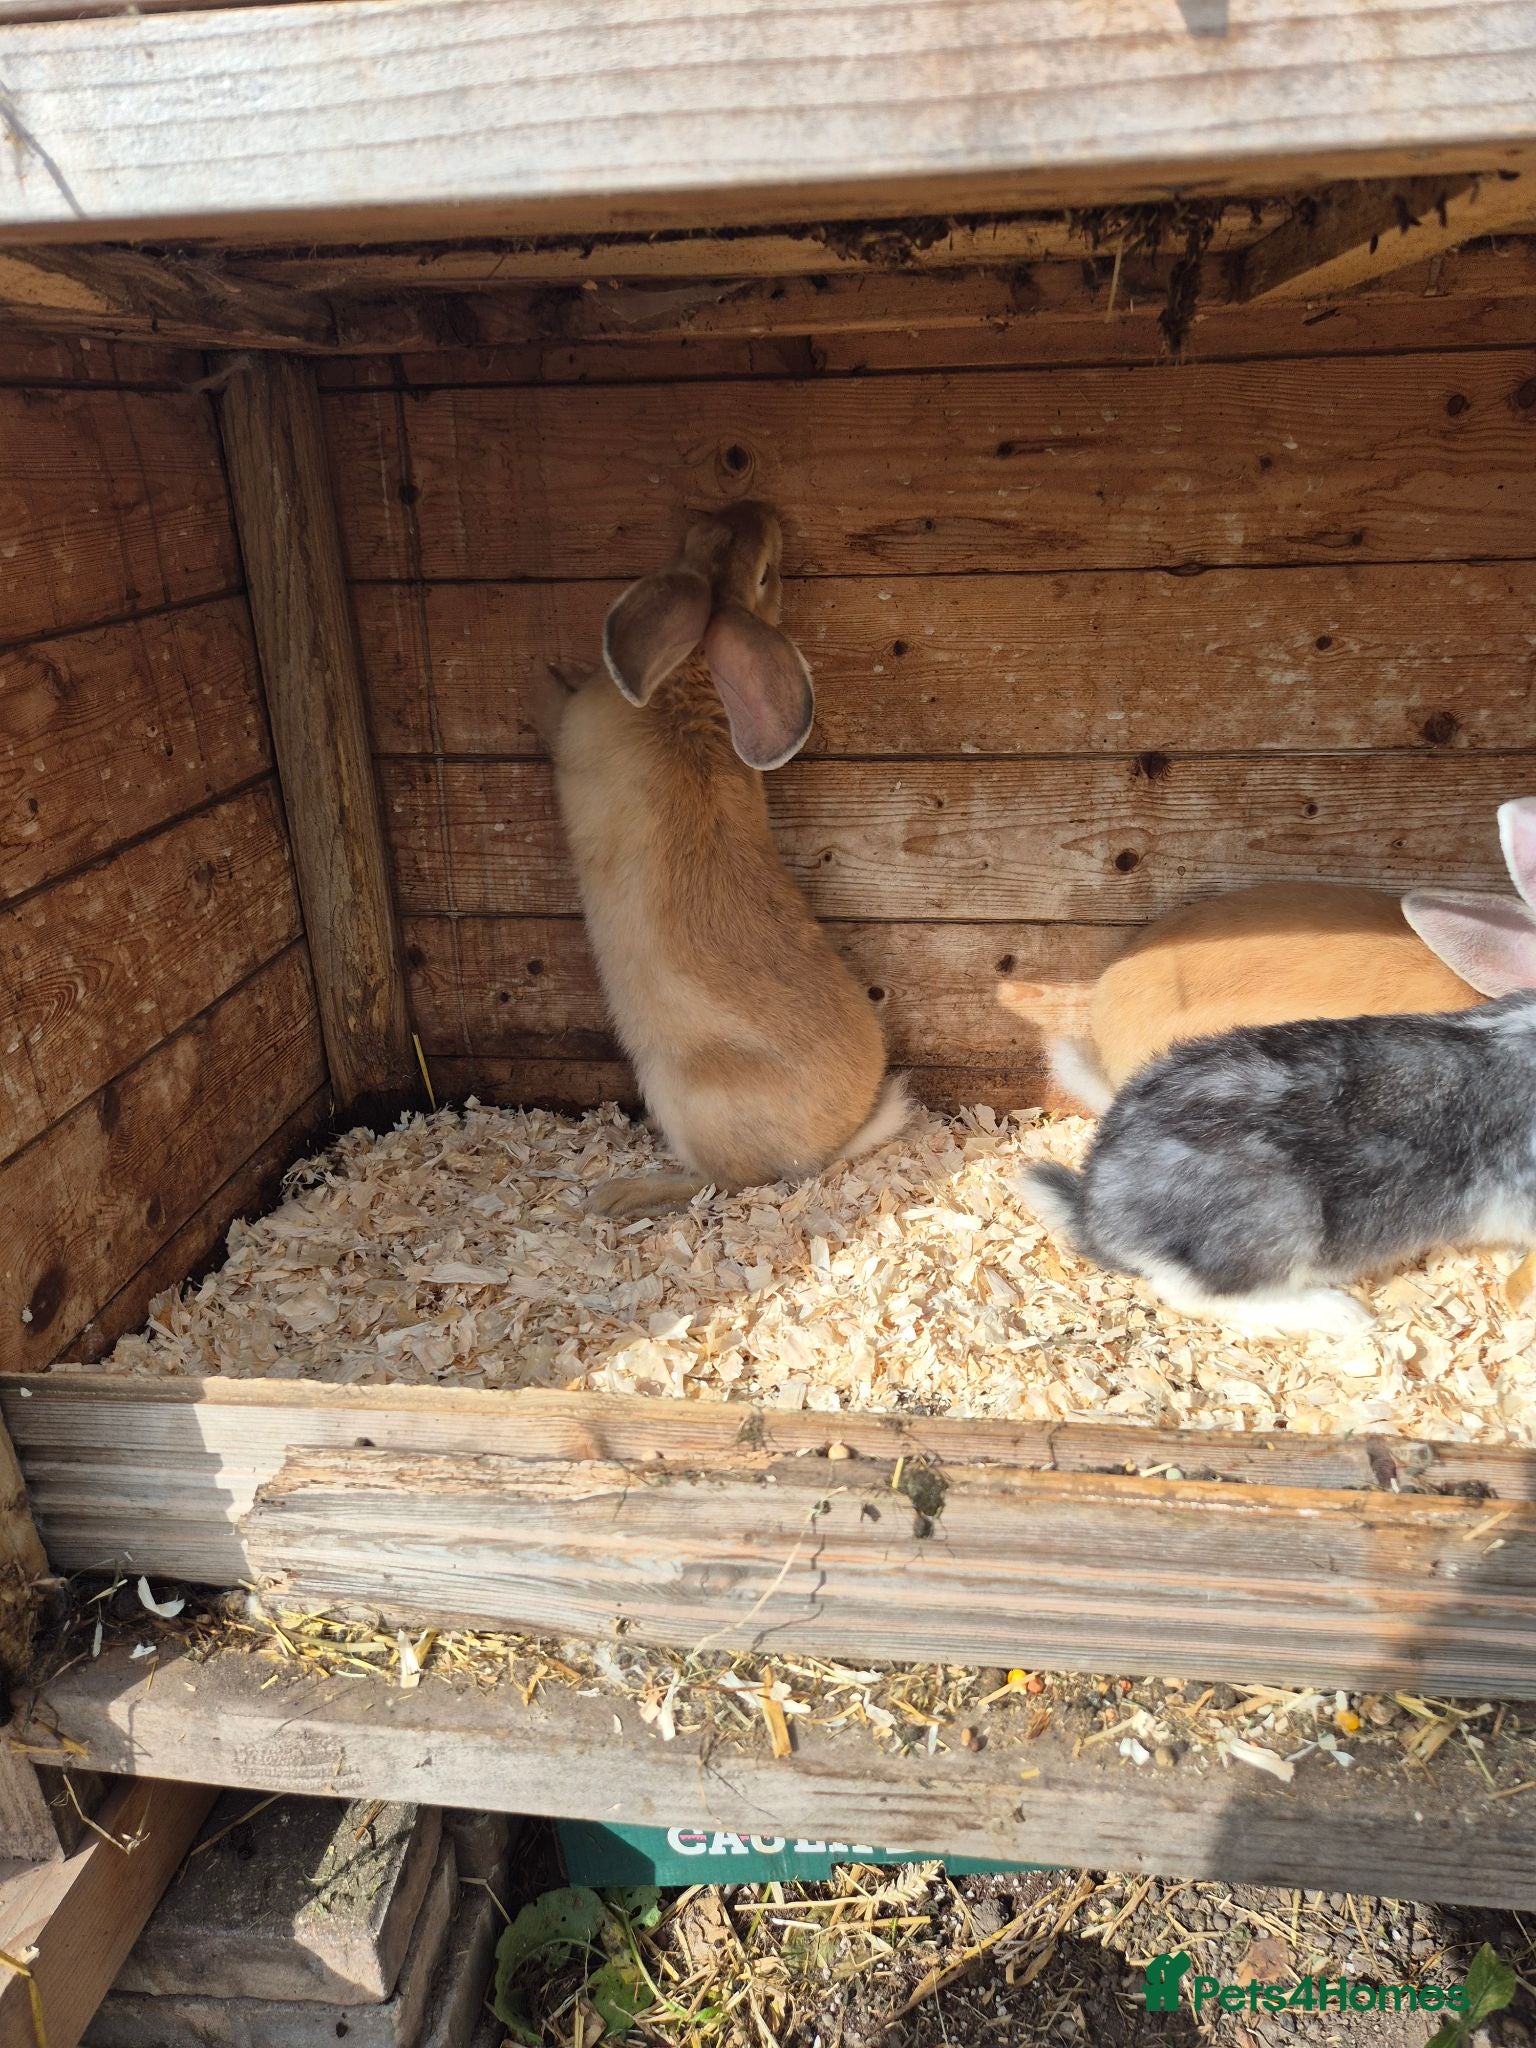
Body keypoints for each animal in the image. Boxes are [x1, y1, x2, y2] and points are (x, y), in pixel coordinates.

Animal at [539, 500, 909, 1222]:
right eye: (706, 529)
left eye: (766, 573)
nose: (759, 510)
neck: (687, 679)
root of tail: (829, 1146)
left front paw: (543, 680)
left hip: (686, 1099)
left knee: (729, 1183)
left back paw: (621, 1194)